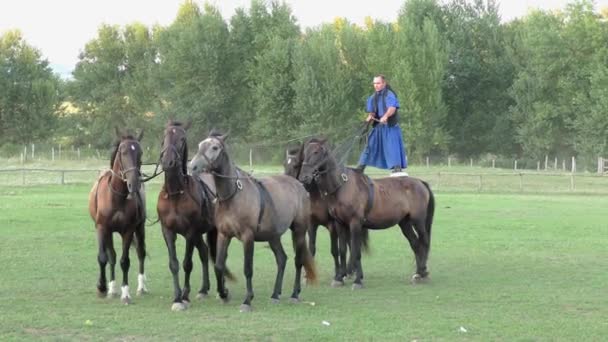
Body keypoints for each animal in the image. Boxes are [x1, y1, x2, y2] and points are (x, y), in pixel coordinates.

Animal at [88, 130, 147, 304]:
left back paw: (141, 287)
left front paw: (125, 294)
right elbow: (104, 258)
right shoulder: (102, 228)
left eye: (140, 152)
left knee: (141, 253)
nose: (134, 183)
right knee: (111, 256)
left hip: (140, 228)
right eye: (123, 151)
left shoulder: (128, 230)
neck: (116, 197)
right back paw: (112, 289)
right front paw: (102, 287)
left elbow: (125, 261)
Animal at [156, 121, 234, 312]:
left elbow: (187, 264)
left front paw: (184, 296)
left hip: (212, 231)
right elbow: (174, 264)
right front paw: (177, 297)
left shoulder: (190, 232)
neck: (175, 194)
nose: (167, 161)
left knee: (218, 255)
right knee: (205, 252)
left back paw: (221, 291)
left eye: (182, 139)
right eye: (164, 135)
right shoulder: (168, 231)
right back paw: (203, 289)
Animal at [190, 132, 316, 312]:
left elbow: (248, 269)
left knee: (298, 261)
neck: (232, 197)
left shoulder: (247, 237)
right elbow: (219, 265)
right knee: (282, 259)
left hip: (299, 230)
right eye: (200, 145)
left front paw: (247, 300)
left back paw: (294, 294)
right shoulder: (224, 235)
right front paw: (223, 294)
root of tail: (299, 185)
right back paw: (275, 295)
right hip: (273, 236)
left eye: (214, 147)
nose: (192, 167)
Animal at [298, 138, 432, 288]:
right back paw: (418, 273)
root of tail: (420, 182)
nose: (304, 177)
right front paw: (339, 278)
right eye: (304, 153)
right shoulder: (339, 224)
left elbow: (356, 250)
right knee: (415, 244)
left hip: (418, 221)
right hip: (405, 223)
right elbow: (342, 250)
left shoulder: (355, 223)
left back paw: (422, 272)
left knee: (424, 242)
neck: (341, 187)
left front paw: (357, 280)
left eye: (316, 152)